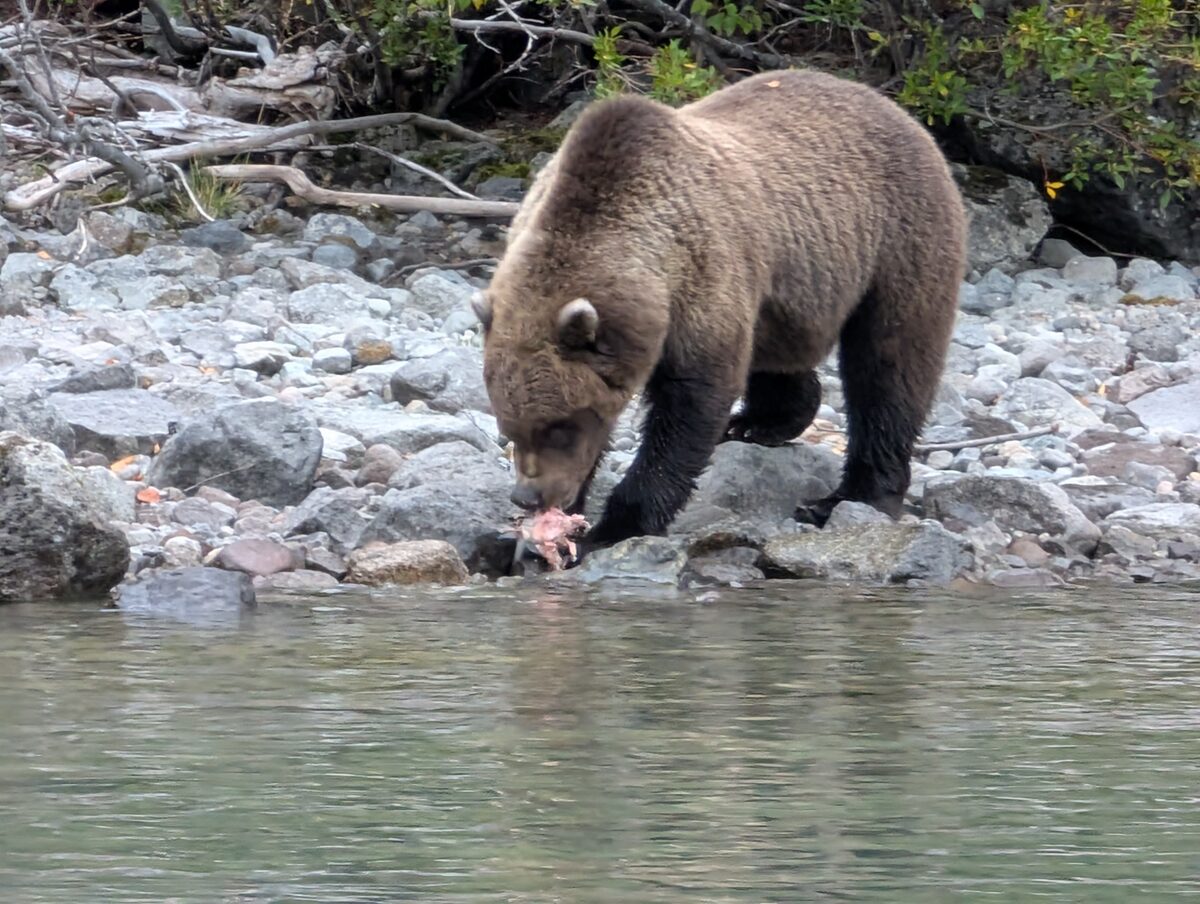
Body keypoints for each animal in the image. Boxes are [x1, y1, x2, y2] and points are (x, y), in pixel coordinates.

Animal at [472, 68, 968, 555]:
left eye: (559, 426)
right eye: (510, 427)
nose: (529, 495)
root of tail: (895, 109)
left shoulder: (702, 276)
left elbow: (691, 404)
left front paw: (616, 524)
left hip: (900, 240)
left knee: (889, 368)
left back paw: (848, 496)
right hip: (789, 287)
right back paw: (759, 423)